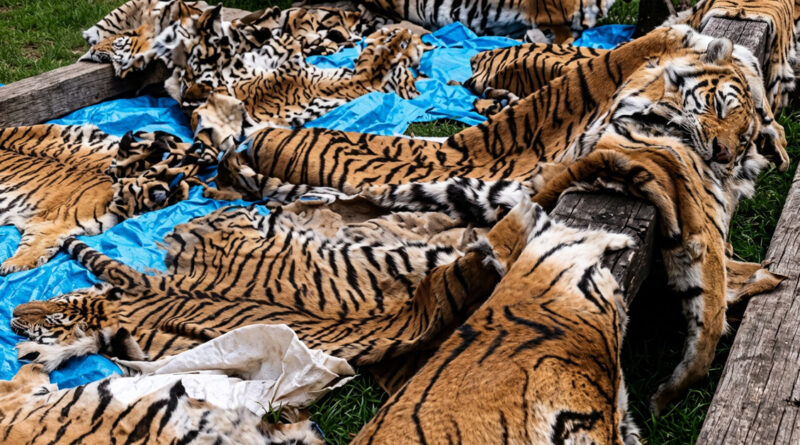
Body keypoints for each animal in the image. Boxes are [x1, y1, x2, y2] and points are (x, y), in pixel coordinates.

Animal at [0, 125, 197, 276]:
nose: (163, 191)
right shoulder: (50, 223)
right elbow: (33, 244)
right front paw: (12, 264)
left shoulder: (51, 226)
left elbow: (35, 244)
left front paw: (12, 264)